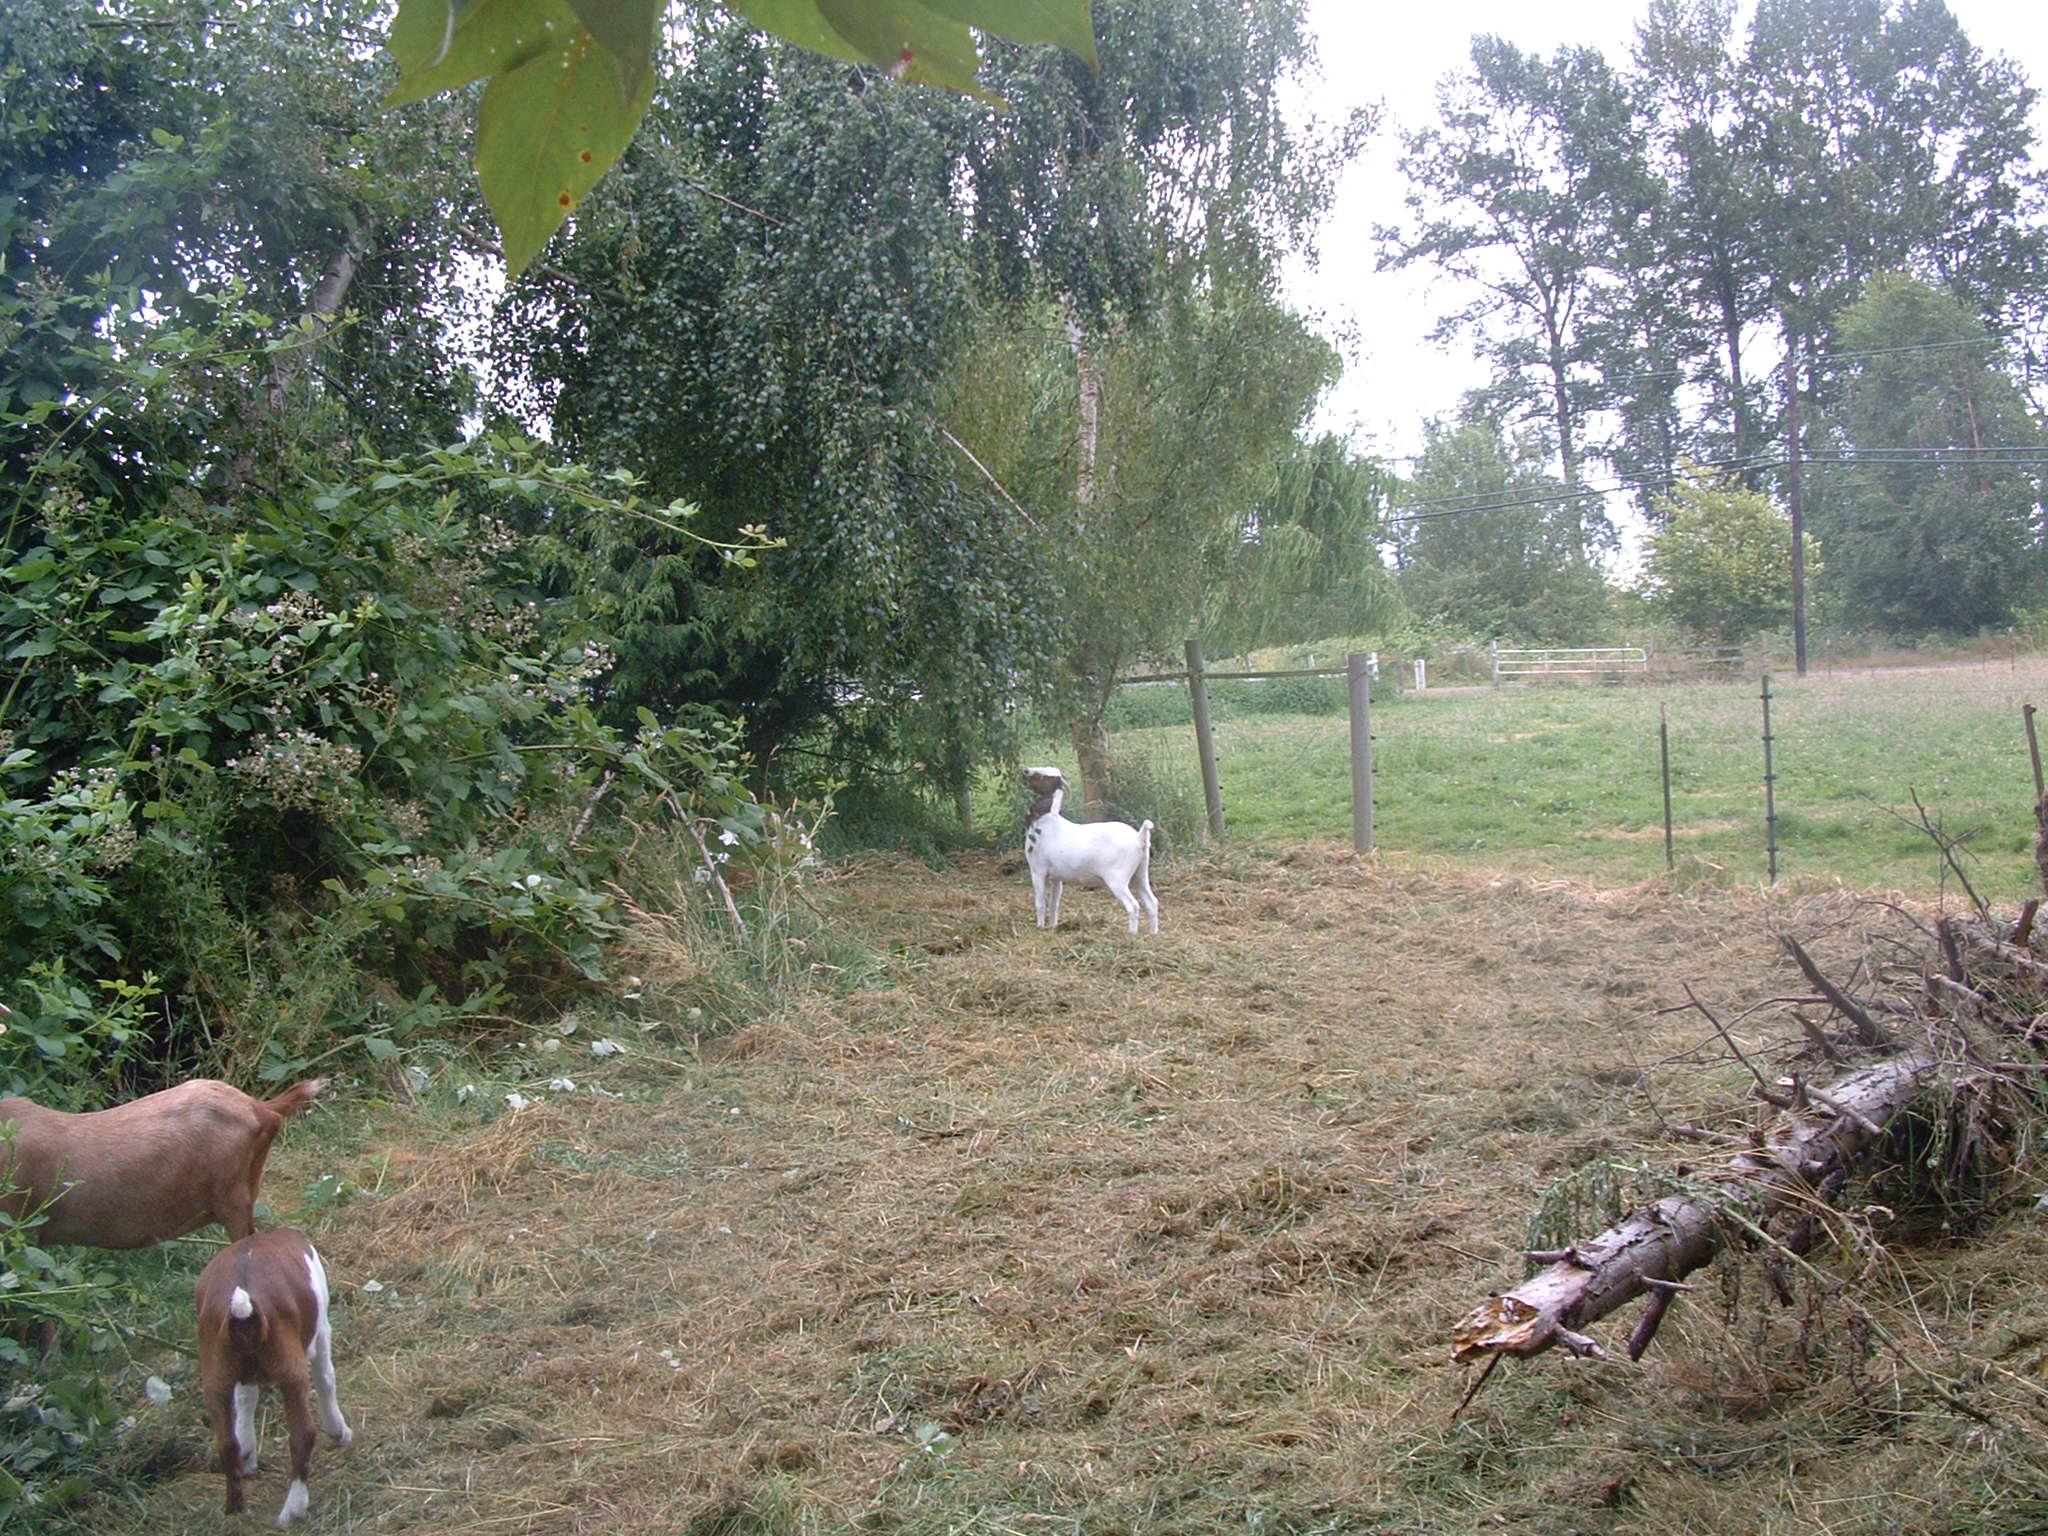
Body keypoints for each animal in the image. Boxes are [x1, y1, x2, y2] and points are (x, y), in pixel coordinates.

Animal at [1024, 774, 1155, 933]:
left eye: (1042, 777)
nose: (1024, 773)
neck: (1047, 823)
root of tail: (1139, 839)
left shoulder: (1038, 871)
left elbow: (1040, 903)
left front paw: (1040, 927)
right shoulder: (1057, 877)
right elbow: (1054, 904)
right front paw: (1052, 926)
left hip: (1117, 879)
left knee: (1133, 905)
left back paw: (1132, 934)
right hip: (1140, 874)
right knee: (1152, 902)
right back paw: (1153, 933)